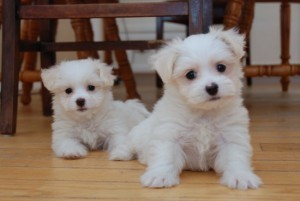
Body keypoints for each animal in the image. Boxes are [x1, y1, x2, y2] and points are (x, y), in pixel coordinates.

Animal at [122, 27, 262, 189]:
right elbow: (165, 155)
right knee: (129, 144)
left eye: (221, 67)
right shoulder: (169, 132)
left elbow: (235, 156)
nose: (212, 88)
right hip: (137, 135)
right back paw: (121, 153)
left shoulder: (232, 135)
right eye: (190, 74)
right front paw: (160, 176)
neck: (203, 112)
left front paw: (241, 176)